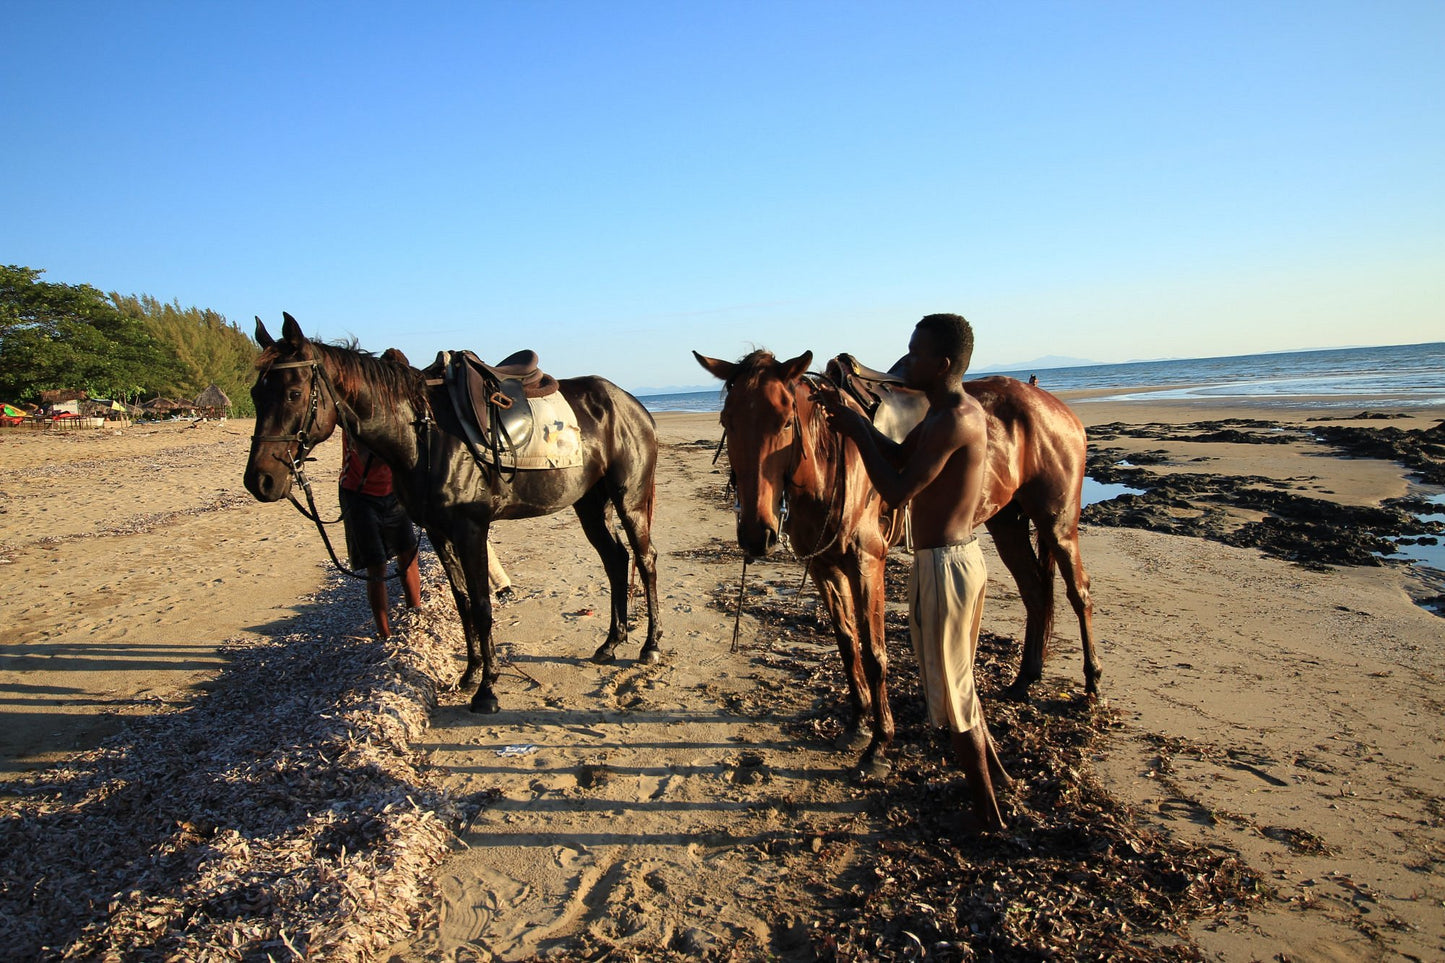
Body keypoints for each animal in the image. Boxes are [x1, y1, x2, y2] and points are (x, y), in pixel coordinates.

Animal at [241, 310, 661, 708]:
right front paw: (471, 675)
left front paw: (487, 691)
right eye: (256, 394)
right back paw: (611, 643)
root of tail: (632, 404)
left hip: (629, 500)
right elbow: (462, 603)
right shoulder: (439, 531)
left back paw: (650, 645)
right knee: (615, 559)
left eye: (294, 393)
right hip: (590, 504)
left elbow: (482, 605)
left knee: (644, 559)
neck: (422, 434)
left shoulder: (470, 528)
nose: (260, 480)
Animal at [690, 348, 1092, 769]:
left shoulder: (867, 565)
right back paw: (1024, 680)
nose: (756, 534)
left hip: (1057, 522)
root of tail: (1049, 402)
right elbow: (847, 643)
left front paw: (880, 743)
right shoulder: (823, 568)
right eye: (727, 422)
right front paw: (857, 723)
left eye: (785, 422)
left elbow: (874, 653)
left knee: (1078, 592)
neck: (829, 462)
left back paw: (1091, 685)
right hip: (1007, 523)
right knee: (1035, 593)